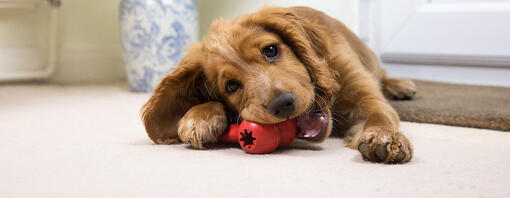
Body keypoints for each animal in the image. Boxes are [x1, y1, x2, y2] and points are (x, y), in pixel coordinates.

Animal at [139, 6, 414, 164]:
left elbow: (380, 114)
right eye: (231, 86)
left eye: (270, 50)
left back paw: (401, 85)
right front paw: (198, 117)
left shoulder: (365, 96)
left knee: (383, 74)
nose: (282, 105)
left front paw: (386, 137)